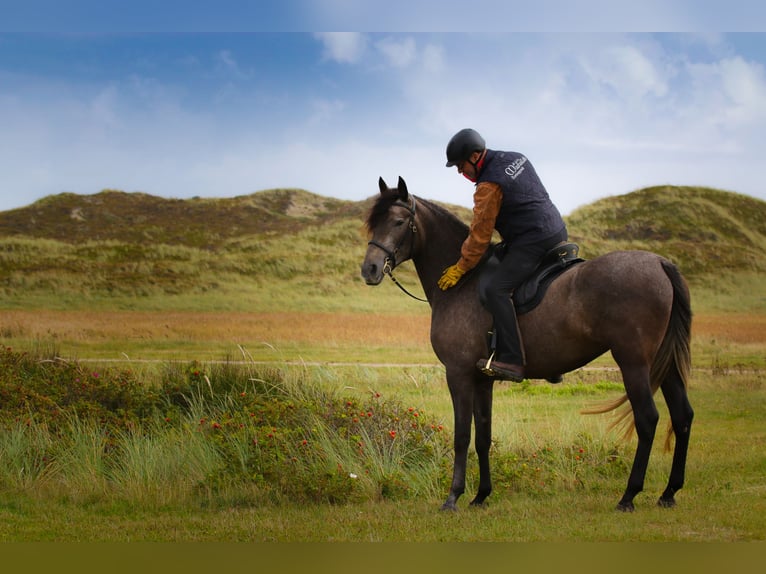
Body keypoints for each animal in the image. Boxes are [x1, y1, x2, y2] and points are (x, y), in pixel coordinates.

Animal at [361, 176, 693, 512]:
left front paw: (453, 496)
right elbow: (483, 436)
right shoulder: (482, 379)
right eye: (373, 223)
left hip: (633, 363)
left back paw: (629, 495)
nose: (369, 269)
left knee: (648, 419)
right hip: (664, 365)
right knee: (683, 417)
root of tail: (660, 262)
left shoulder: (458, 374)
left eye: (399, 221)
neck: (464, 282)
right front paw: (481, 495)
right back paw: (669, 492)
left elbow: (461, 436)